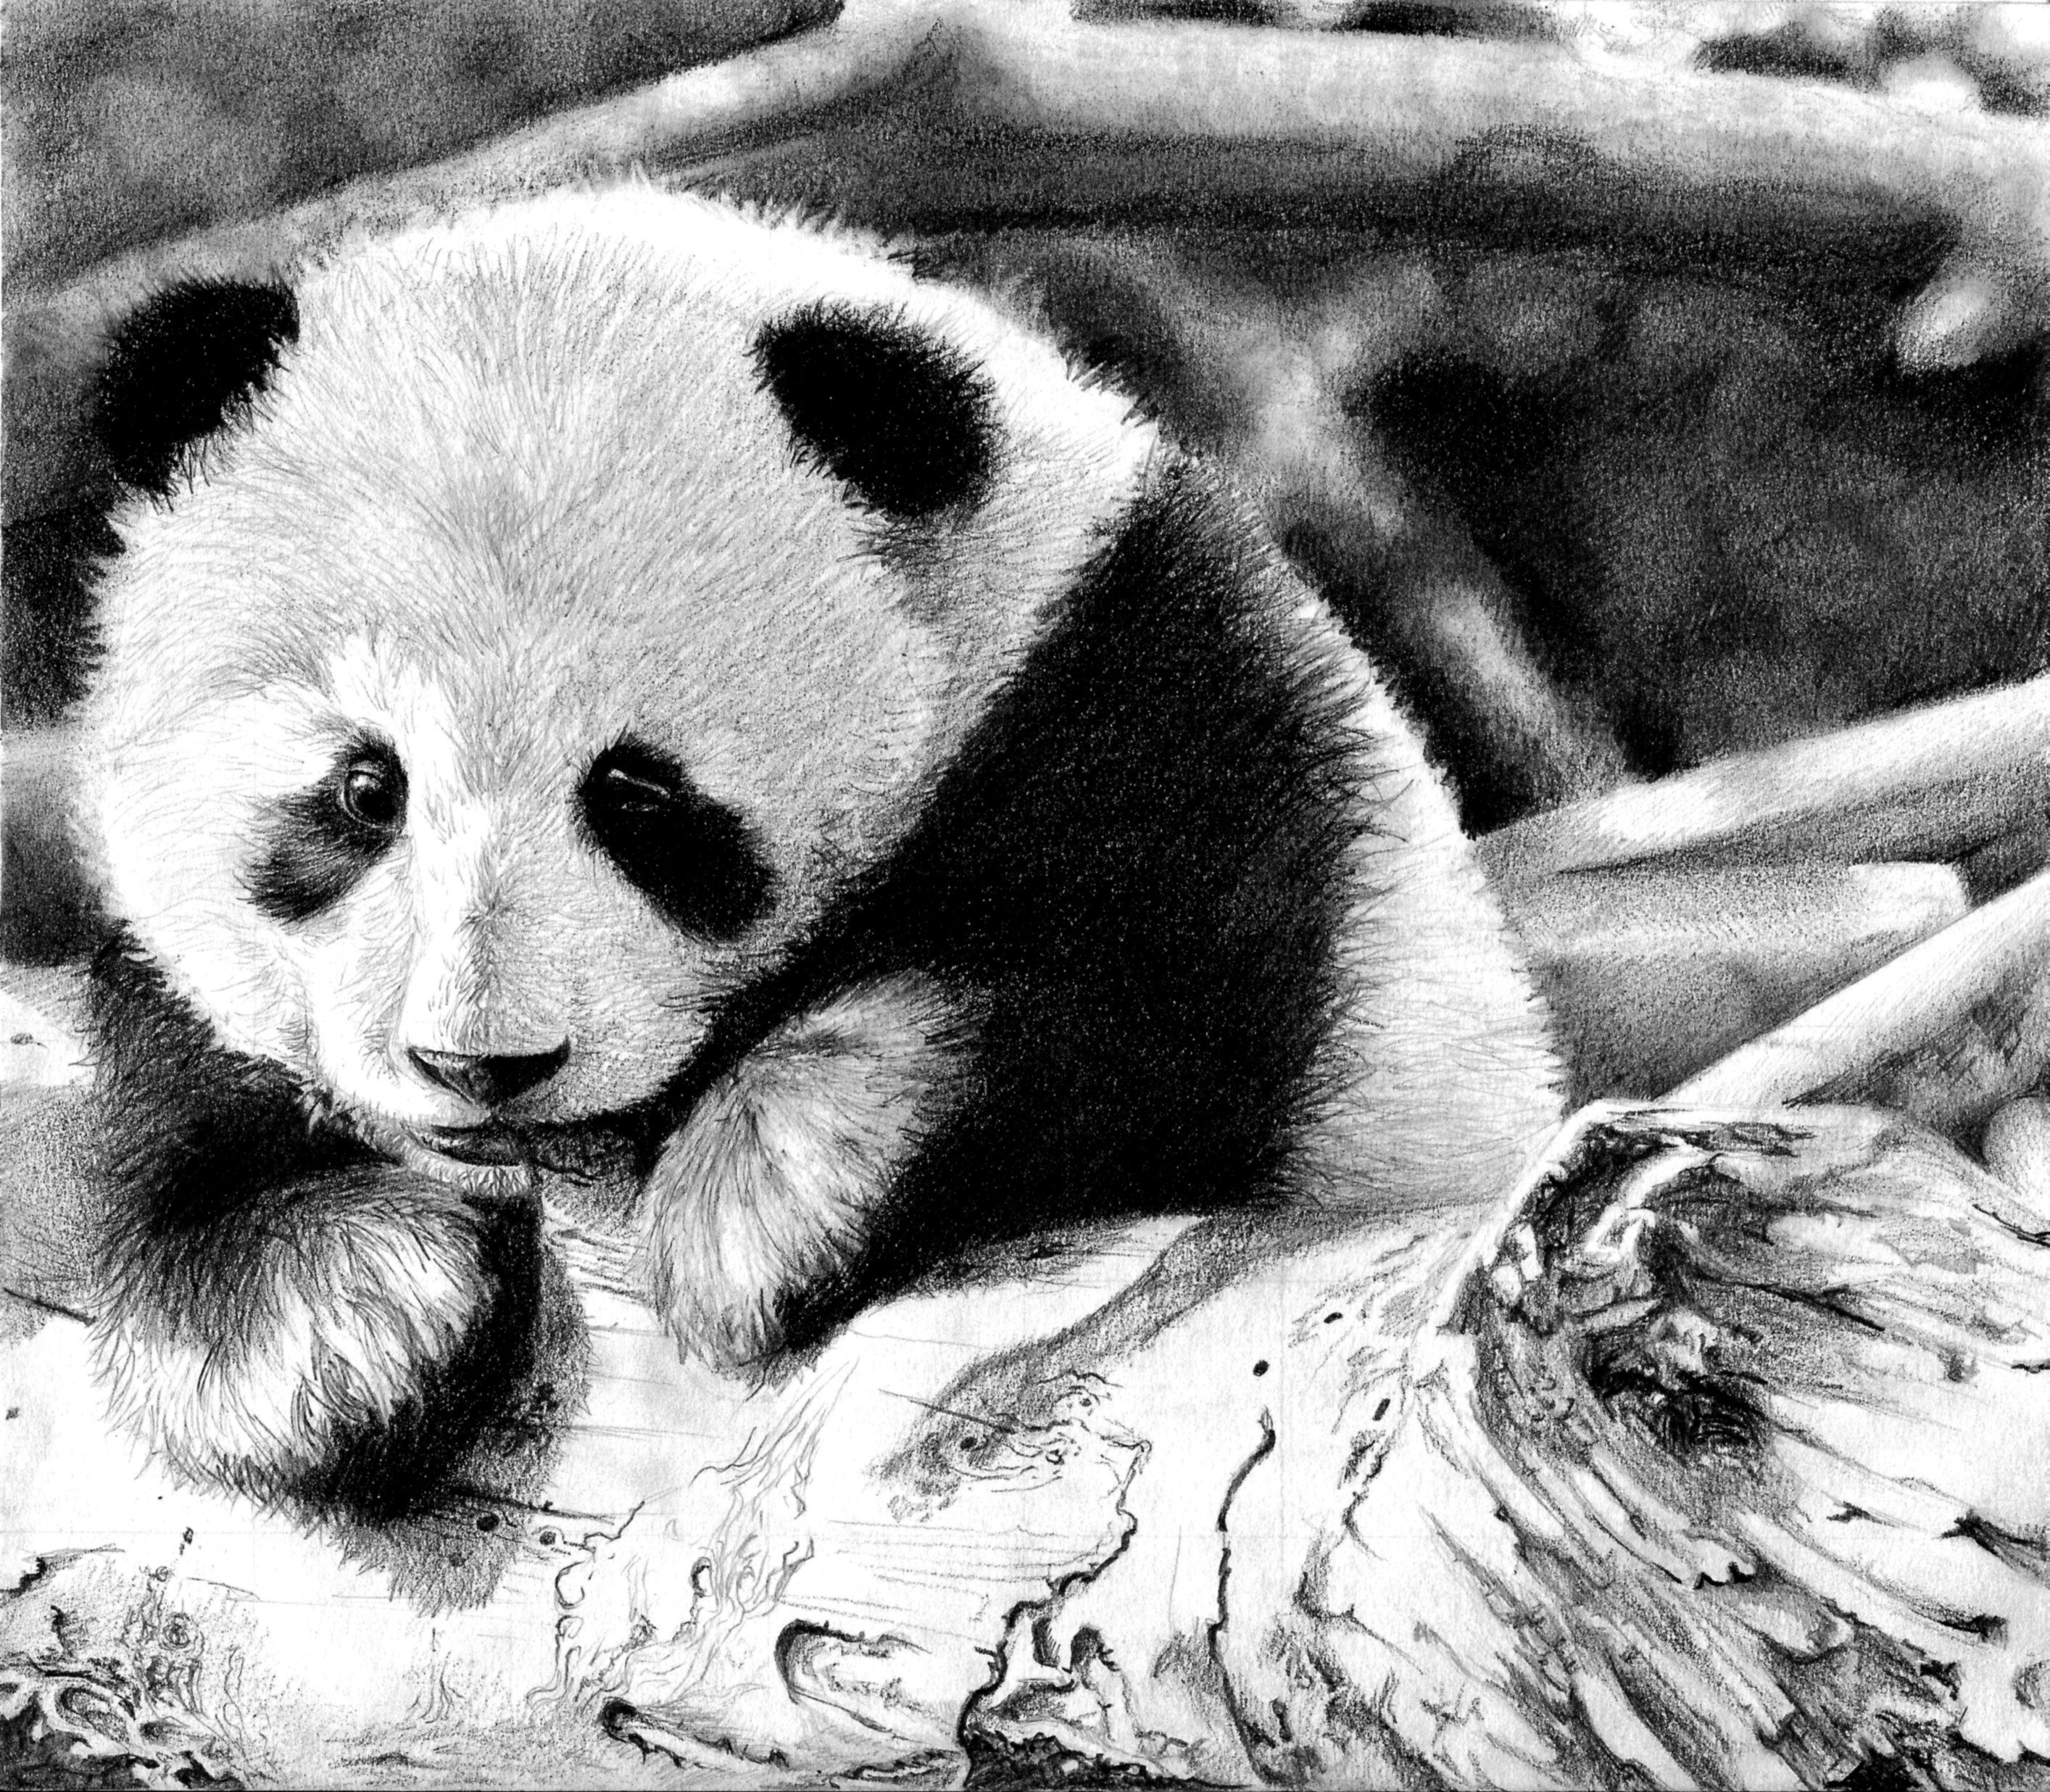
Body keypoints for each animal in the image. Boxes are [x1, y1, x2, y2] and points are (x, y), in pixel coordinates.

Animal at [75, 184, 1561, 1494]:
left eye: (638, 796)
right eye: (364, 789)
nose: (483, 1066)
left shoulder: (1156, 695)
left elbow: (1148, 1001)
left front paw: (766, 1197)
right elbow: (195, 1070)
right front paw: (322, 1314)